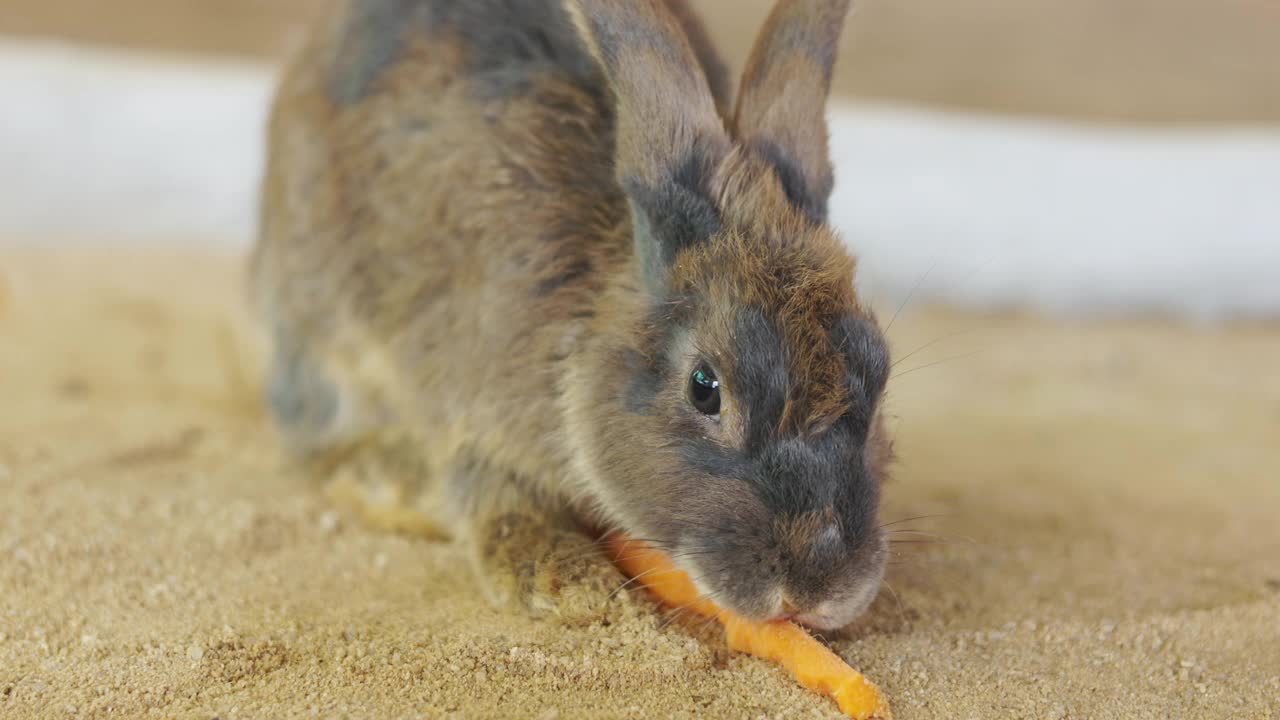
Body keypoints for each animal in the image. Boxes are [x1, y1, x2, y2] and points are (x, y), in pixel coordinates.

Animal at [249, 0, 890, 627]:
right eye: (704, 387)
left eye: (879, 371)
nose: (815, 589)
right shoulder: (474, 419)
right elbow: (498, 500)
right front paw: (577, 588)